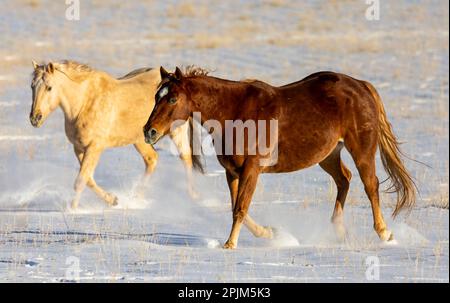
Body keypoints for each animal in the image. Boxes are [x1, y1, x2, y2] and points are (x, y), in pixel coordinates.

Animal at [29, 60, 202, 210]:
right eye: (32, 87)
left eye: (49, 87)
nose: (34, 118)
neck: (84, 104)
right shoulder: (78, 148)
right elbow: (88, 179)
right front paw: (113, 200)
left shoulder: (94, 147)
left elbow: (80, 180)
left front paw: (72, 210)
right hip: (141, 139)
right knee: (152, 160)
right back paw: (136, 199)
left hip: (176, 131)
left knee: (185, 158)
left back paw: (192, 197)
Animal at [143, 66, 414, 249]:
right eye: (156, 96)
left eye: (173, 98)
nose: (149, 131)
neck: (234, 112)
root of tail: (361, 86)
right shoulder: (232, 172)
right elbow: (236, 207)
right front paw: (270, 234)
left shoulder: (251, 170)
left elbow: (240, 208)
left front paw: (230, 244)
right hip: (328, 154)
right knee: (344, 180)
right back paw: (336, 231)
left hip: (361, 150)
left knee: (370, 185)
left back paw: (384, 233)